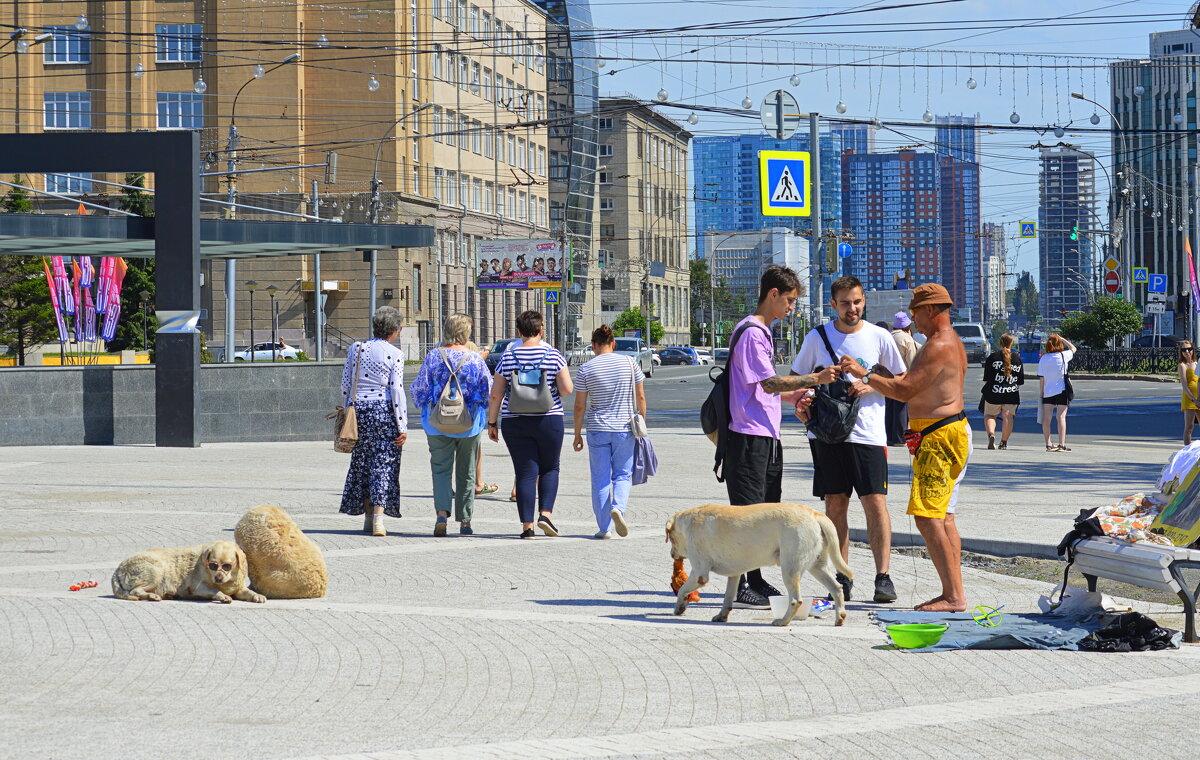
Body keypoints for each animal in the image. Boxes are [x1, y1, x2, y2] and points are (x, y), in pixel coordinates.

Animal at [111, 540, 267, 605]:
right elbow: (214, 590)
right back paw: (152, 596)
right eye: (213, 565)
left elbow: (247, 592)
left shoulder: (238, 588)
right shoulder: (197, 587)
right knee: (135, 591)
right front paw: (222, 596)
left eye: (227, 566)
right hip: (155, 572)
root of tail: (117, 570)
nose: (218, 578)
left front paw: (257, 595)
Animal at [667, 504, 854, 624]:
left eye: (671, 538)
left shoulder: (699, 573)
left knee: (796, 600)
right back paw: (840, 618)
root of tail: (815, 514)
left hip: (790, 569)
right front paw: (722, 616)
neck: (688, 522)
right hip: (817, 566)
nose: (671, 554)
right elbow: (727, 598)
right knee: (837, 588)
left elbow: (682, 590)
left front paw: (679, 608)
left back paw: (782, 621)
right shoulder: (734, 575)